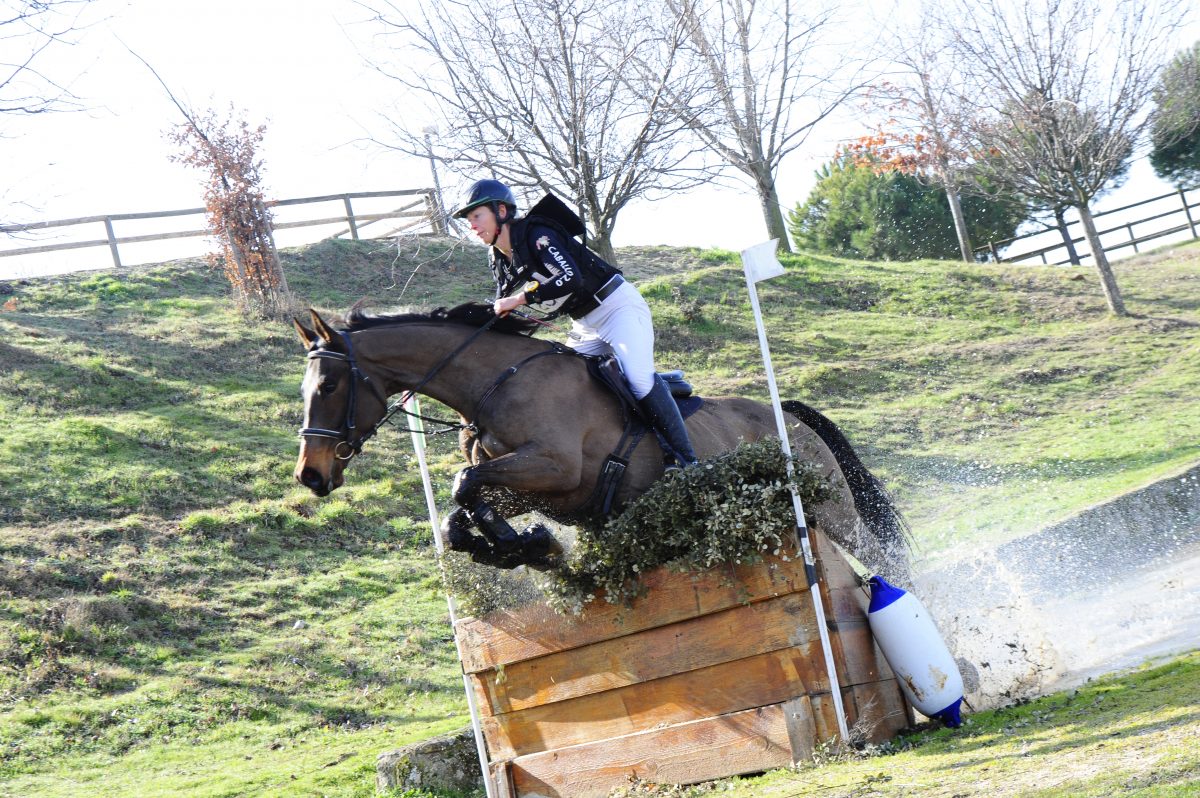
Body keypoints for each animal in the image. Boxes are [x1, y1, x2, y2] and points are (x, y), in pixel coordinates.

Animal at [292, 302, 910, 583]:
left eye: (328, 386)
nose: (311, 475)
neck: (495, 384)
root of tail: (790, 417)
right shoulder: (539, 486)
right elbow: (460, 508)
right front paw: (518, 546)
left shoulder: (557, 470)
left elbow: (465, 484)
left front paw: (521, 544)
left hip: (833, 510)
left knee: (885, 560)